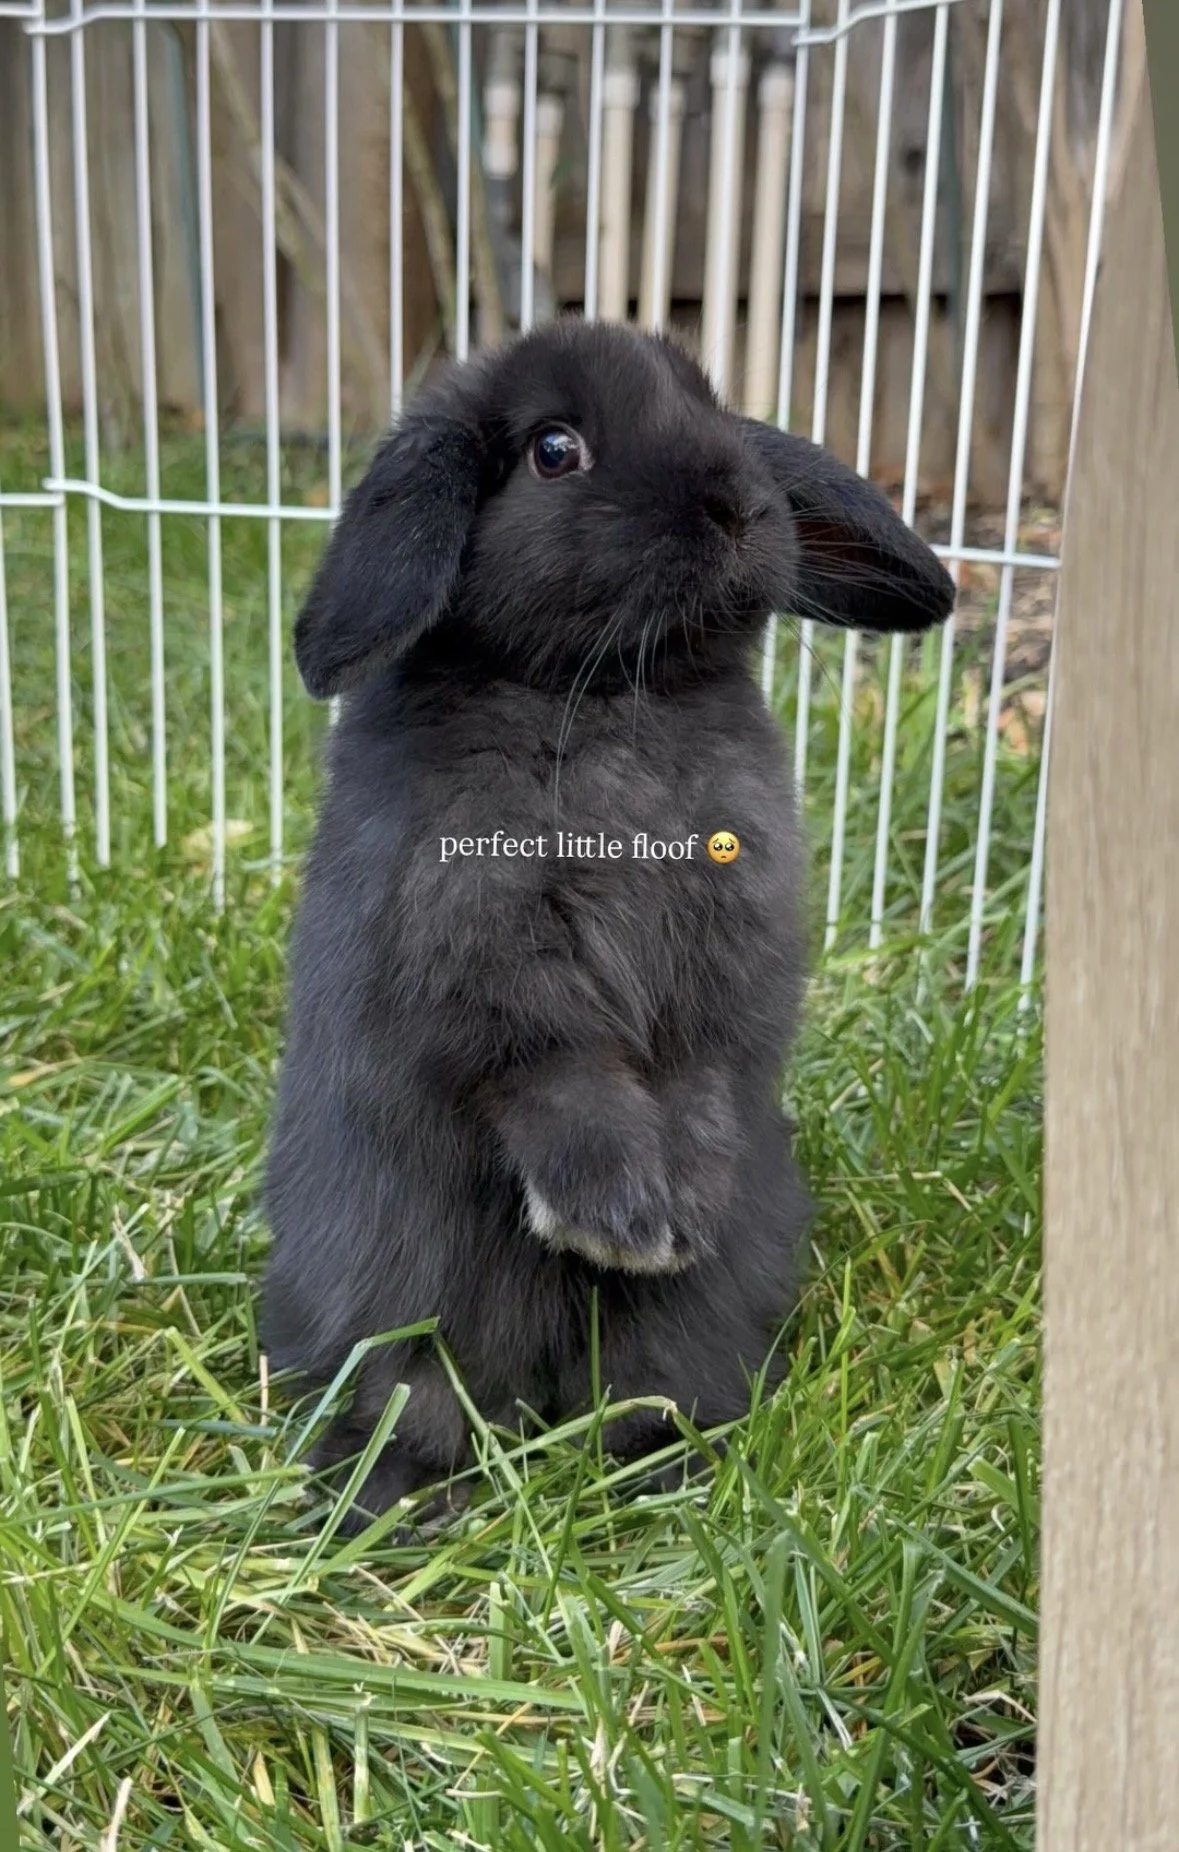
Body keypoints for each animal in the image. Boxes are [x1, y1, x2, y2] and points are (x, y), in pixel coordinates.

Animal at [262, 317, 954, 1531]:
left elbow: (701, 1075)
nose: (740, 504)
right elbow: (558, 1075)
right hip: (392, 1290)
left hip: (688, 1330)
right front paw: (621, 1220)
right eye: (554, 449)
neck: (617, 697)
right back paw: (383, 1511)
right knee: (406, 1399)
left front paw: (683, 1211)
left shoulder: (726, 975)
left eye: (718, 412)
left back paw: (668, 1481)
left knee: (650, 1388)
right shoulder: (486, 957)